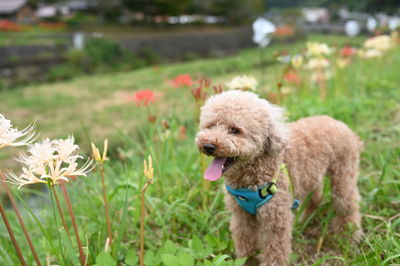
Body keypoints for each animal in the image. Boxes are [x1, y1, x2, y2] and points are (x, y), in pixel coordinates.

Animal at [195, 90, 364, 264]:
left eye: (234, 130)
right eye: (210, 126)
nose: (208, 146)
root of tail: (340, 124)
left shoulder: (276, 219)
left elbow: (275, 250)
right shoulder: (241, 215)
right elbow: (245, 241)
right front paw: (247, 261)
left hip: (344, 172)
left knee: (348, 204)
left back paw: (349, 237)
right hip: (312, 176)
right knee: (316, 196)